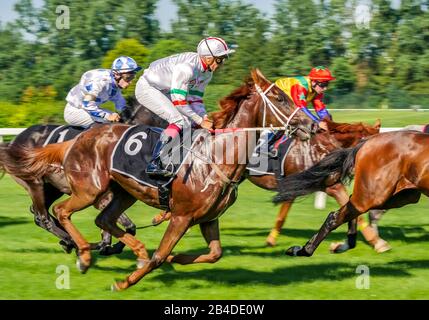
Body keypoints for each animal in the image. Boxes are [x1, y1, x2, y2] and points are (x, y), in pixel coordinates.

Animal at [0, 70, 310, 290]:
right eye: (280, 98)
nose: (309, 124)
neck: (216, 156)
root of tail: (76, 140)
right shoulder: (181, 216)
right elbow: (160, 255)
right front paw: (124, 281)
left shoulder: (209, 218)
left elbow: (215, 253)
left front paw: (174, 259)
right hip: (87, 189)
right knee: (58, 212)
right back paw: (83, 253)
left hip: (121, 192)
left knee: (103, 220)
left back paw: (127, 250)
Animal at [274, 130, 428, 258]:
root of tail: (367, 141)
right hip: (374, 194)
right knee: (338, 215)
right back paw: (304, 250)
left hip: (402, 195)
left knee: (353, 208)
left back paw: (343, 245)